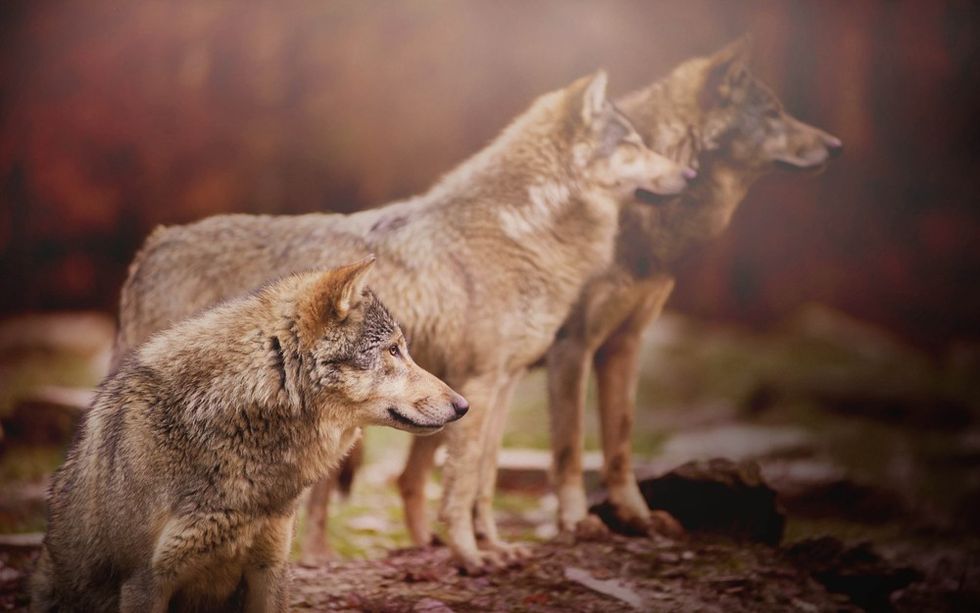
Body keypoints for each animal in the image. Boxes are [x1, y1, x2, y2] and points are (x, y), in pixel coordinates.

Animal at [110, 71, 695, 572]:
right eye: (633, 146)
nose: (689, 173)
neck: (521, 231)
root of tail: (155, 243)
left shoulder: (503, 384)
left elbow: (483, 480)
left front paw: (494, 547)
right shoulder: (483, 381)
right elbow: (461, 484)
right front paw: (469, 557)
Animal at [394, 39, 843, 543]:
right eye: (772, 113)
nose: (836, 146)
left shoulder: (626, 343)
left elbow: (620, 439)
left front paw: (637, 516)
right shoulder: (574, 347)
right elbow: (569, 447)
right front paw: (576, 521)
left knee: (411, 479)